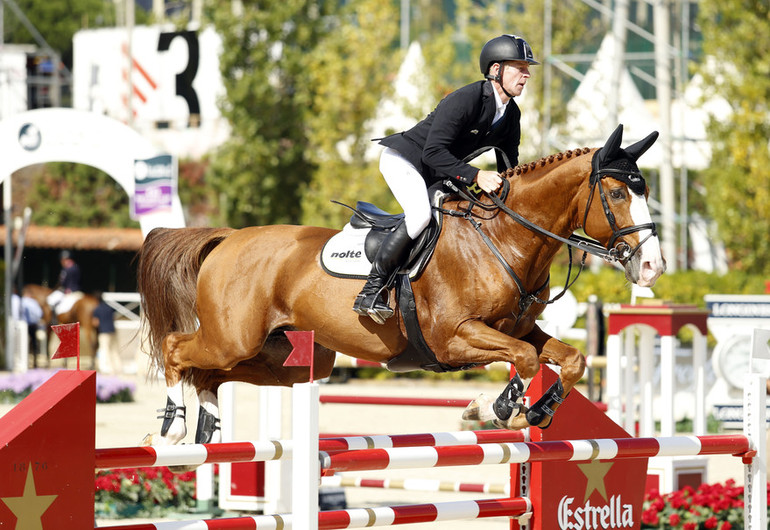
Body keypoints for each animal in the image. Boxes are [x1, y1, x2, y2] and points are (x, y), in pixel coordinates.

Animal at [136, 126, 660, 444]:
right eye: (617, 193)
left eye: (646, 190)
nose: (653, 266)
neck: (503, 239)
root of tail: (228, 237)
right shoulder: (454, 338)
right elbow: (527, 359)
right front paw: (495, 409)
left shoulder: (519, 328)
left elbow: (567, 359)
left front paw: (533, 411)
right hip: (233, 337)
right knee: (177, 348)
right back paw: (173, 429)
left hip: (289, 358)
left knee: (210, 374)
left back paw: (207, 427)